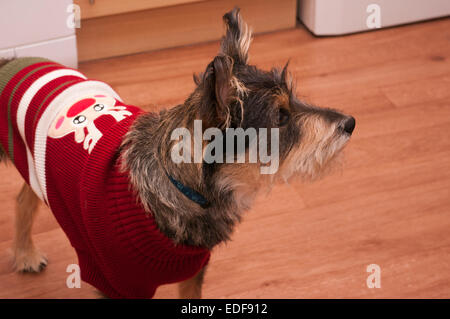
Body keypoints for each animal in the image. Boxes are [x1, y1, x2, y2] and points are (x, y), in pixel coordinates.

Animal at [0, 8, 356, 298]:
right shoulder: (116, 283)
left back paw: (25, 253)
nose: (350, 123)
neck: (179, 185)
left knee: (24, 199)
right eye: (281, 116)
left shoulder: (193, 273)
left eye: (292, 100)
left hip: (37, 167)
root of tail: (11, 61)